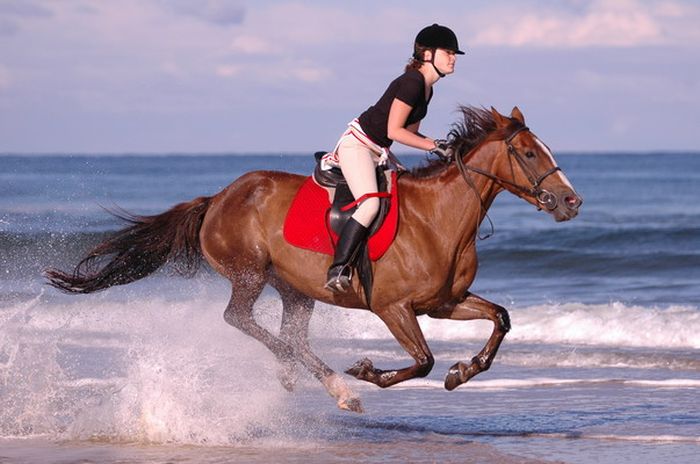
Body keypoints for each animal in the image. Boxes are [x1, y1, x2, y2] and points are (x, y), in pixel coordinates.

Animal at [43, 106, 580, 414]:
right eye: (529, 153)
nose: (571, 202)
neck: (439, 218)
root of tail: (217, 198)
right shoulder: (393, 307)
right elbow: (422, 360)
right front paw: (369, 372)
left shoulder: (445, 302)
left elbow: (500, 318)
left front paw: (463, 371)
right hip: (249, 274)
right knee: (241, 319)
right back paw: (329, 383)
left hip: (296, 289)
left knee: (293, 337)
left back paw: (313, 380)